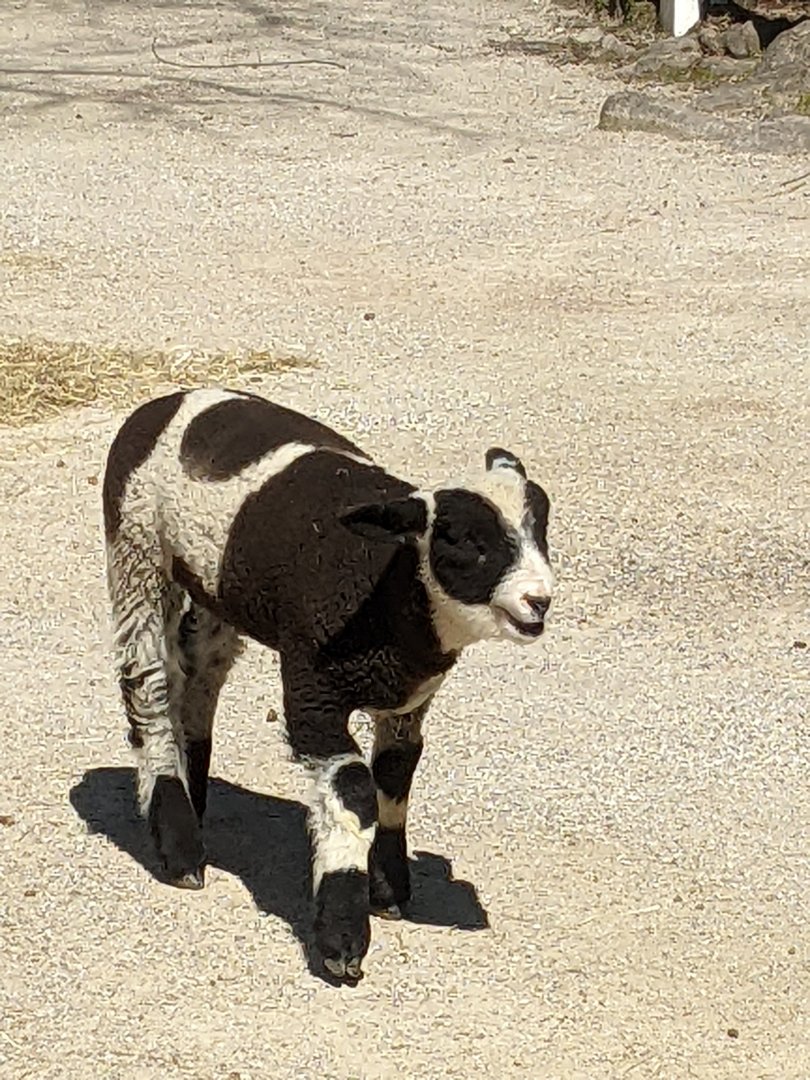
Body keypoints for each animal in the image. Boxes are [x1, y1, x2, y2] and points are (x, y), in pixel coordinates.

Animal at [102, 387, 554, 980]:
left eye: (542, 530)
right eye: (465, 541)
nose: (539, 601)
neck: (389, 584)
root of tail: (168, 399)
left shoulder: (409, 701)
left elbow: (395, 780)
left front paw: (388, 889)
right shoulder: (312, 692)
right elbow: (355, 791)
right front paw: (341, 937)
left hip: (213, 588)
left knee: (199, 673)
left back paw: (194, 795)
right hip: (135, 548)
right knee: (149, 684)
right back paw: (178, 843)